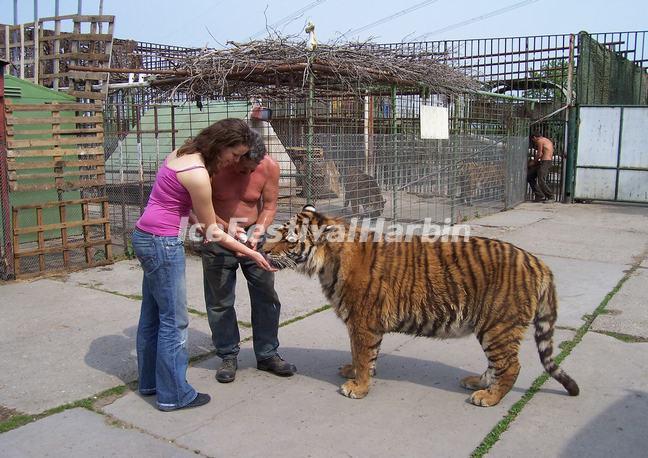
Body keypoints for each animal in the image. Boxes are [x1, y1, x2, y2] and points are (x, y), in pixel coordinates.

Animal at [264, 206, 584, 406]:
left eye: (288, 239)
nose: (262, 250)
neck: (327, 262)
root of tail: (537, 261)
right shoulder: (365, 324)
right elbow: (365, 356)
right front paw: (354, 373)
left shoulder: (362, 322)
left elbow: (363, 355)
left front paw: (358, 387)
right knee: (498, 365)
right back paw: (478, 383)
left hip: (499, 326)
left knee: (510, 366)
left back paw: (488, 397)